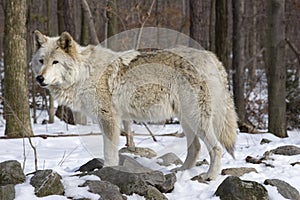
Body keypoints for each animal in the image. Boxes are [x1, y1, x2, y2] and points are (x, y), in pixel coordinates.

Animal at [32, 30, 237, 180]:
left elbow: (109, 152)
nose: (39, 78)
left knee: (216, 148)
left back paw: (210, 176)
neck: (84, 73)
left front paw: (107, 171)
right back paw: (181, 172)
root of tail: (211, 56)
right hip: (186, 120)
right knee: (195, 148)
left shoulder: (108, 119)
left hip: (196, 119)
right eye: (41, 61)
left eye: (56, 62)